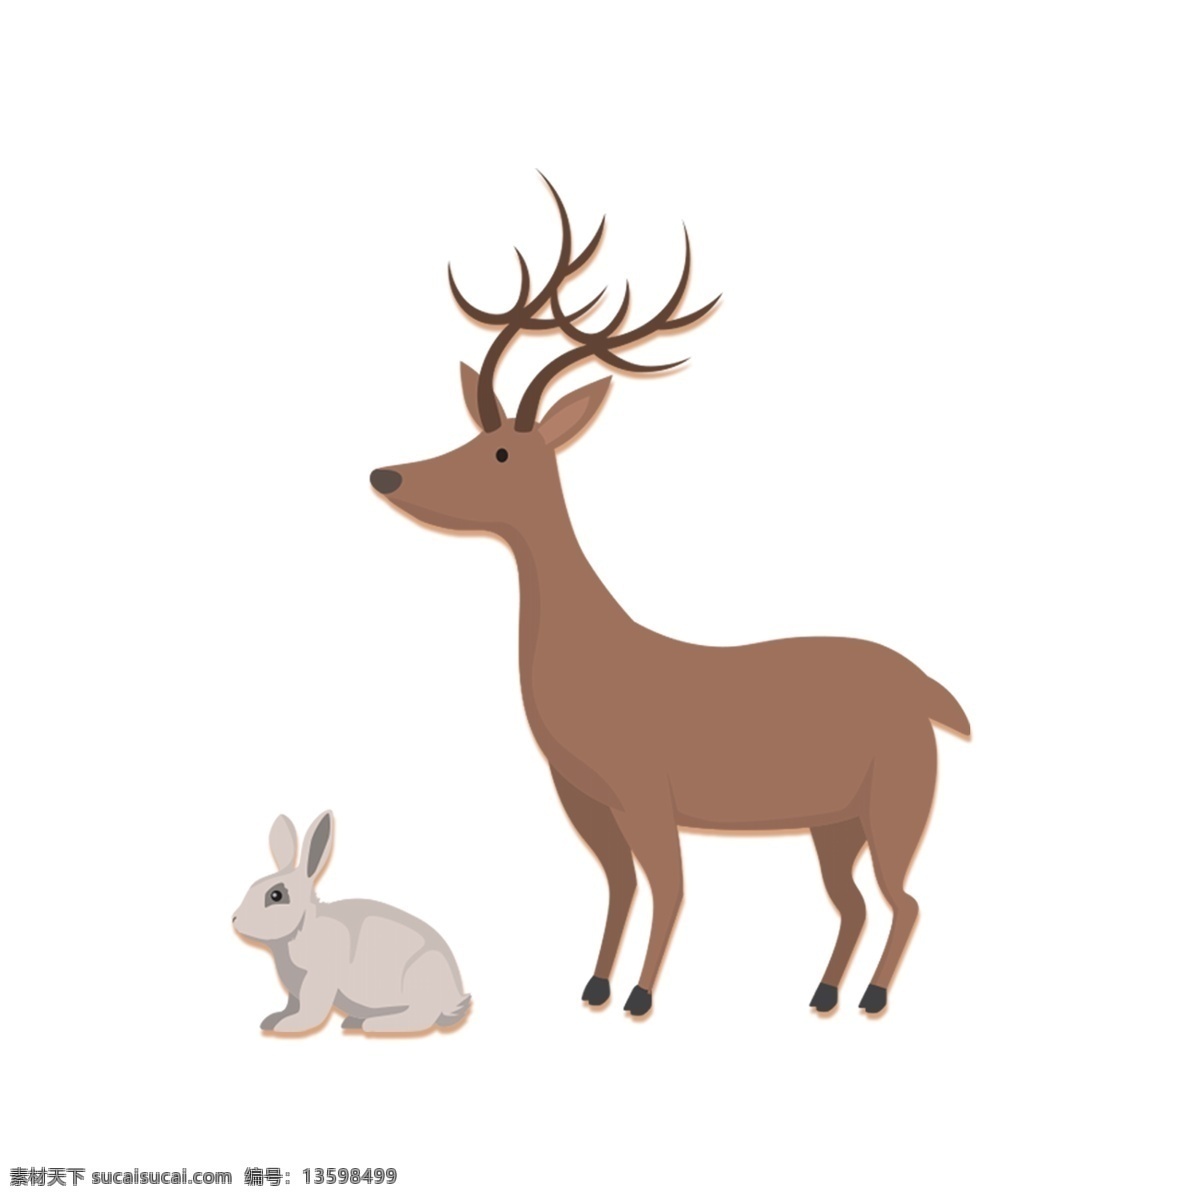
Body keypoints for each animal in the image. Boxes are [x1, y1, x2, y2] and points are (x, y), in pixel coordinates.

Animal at [370, 174, 970, 1018]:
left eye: (502, 451)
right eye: (470, 432)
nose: (386, 475)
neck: (595, 654)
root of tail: (933, 695)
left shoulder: (644, 790)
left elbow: (672, 888)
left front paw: (639, 997)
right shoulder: (583, 798)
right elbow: (621, 889)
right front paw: (593, 985)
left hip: (896, 803)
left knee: (905, 899)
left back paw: (873, 998)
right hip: (833, 823)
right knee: (854, 902)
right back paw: (822, 993)